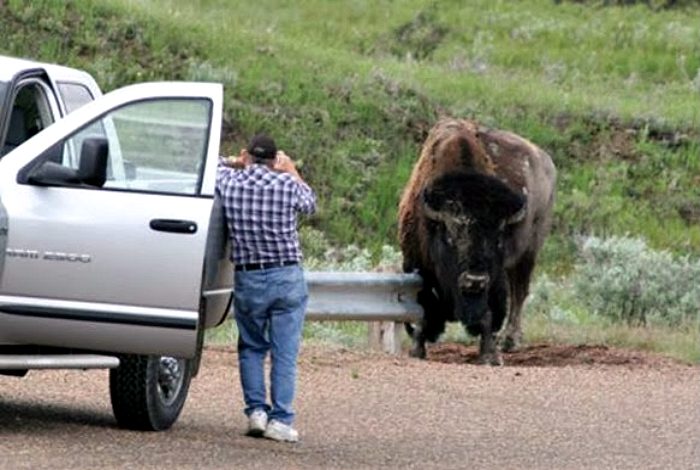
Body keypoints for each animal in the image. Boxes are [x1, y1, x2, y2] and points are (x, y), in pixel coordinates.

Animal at [400, 116, 556, 364]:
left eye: (498, 237)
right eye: (450, 235)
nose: (474, 280)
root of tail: (546, 160)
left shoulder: (494, 279)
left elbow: (490, 314)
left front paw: (490, 356)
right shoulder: (415, 265)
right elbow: (423, 308)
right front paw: (417, 351)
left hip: (529, 252)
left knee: (519, 293)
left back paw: (510, 341)